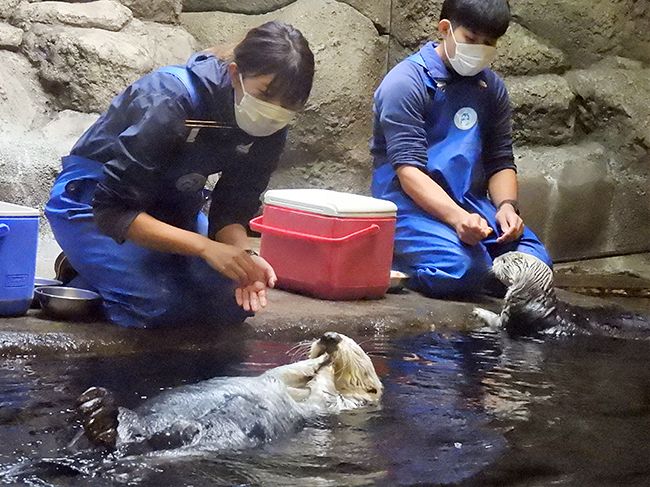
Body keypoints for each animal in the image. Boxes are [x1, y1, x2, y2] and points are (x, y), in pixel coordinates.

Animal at [76, 334, 382, 456]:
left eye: (357, 350)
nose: (330, 337)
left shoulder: (335, 404)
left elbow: (324, 391)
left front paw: (327, 366)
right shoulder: (280, 376)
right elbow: (287, 371)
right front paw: (319, 360)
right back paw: (96, 410)